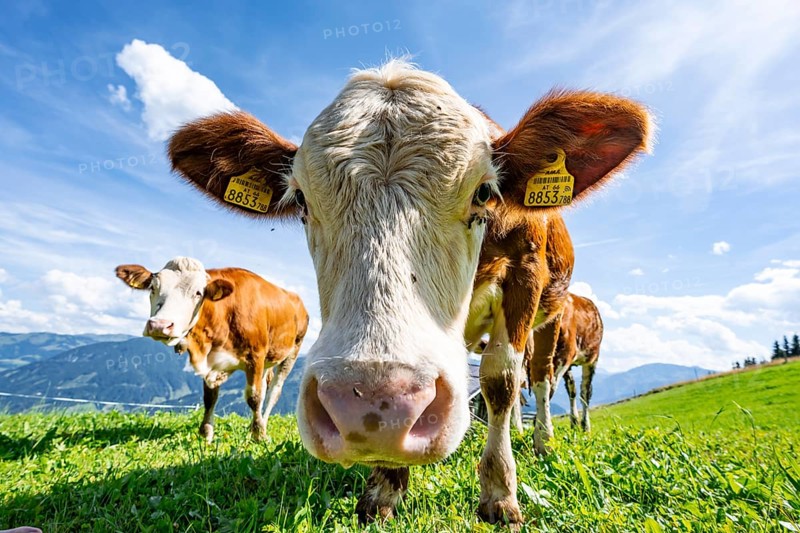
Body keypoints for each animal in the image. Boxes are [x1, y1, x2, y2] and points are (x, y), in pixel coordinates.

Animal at [115, 257, 308, 442]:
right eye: (153, 288)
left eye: (198, 293)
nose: (159, 325)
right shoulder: (211, 360)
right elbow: (210, 397)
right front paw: (206, 433)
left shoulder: (256, 356)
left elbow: (254, 397)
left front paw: (259, 435)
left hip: (292, 351)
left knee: (274, 391)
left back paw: (263, 423)